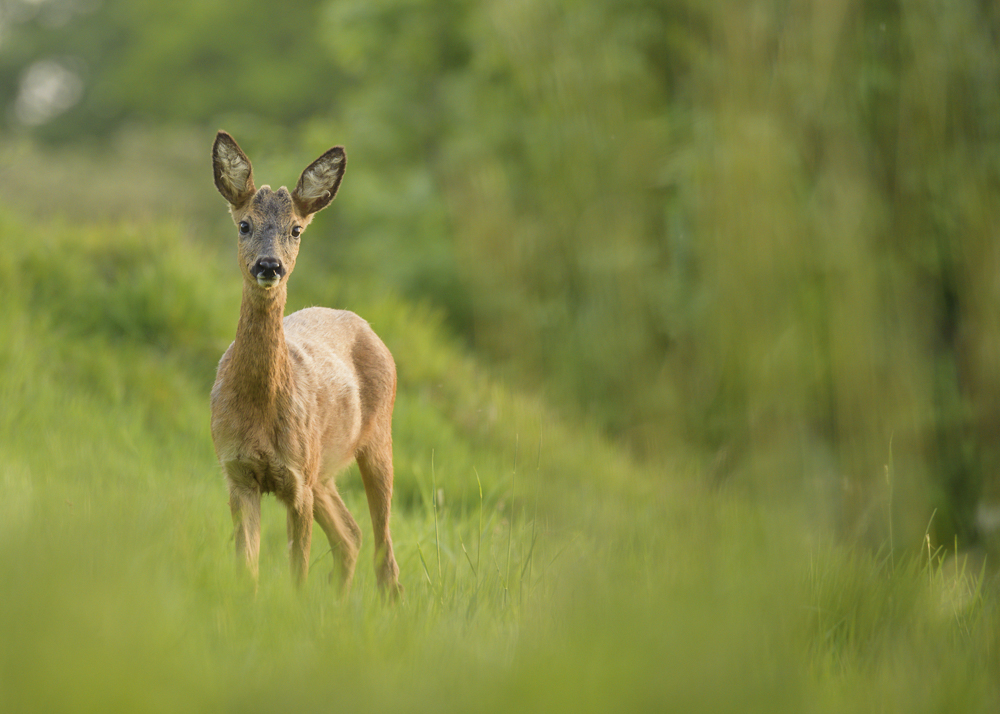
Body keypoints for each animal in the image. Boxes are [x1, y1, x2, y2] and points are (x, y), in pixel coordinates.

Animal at [211, 129, 402, 596]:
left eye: (296, 229)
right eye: (244, 224)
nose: (269, 265)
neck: (259, 411)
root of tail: (363, 323)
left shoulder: (297, 478)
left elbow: (297, 569)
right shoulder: (237, 473)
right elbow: (247, 568)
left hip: (376, 440)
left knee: (384, 553)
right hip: (324, 469)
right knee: (350, 535)